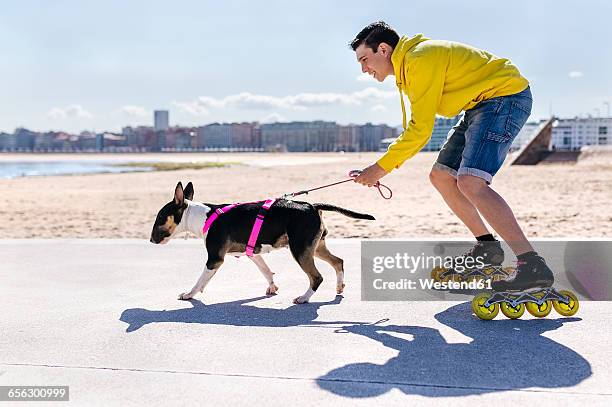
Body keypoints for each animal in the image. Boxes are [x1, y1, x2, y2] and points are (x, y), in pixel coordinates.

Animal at [151, 182, 376, 302]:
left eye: (160, 217)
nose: (151, 240)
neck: (204, 216)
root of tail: (311, 206)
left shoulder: (214, 259)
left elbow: (200, 280)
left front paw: (189, 294)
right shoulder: (253, 253)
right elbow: (266, 270)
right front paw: (273, 288)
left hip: (300, 250)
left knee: (317, 277)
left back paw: (304, 298)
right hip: (315, 247)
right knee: (338, 262)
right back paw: (339, 288)